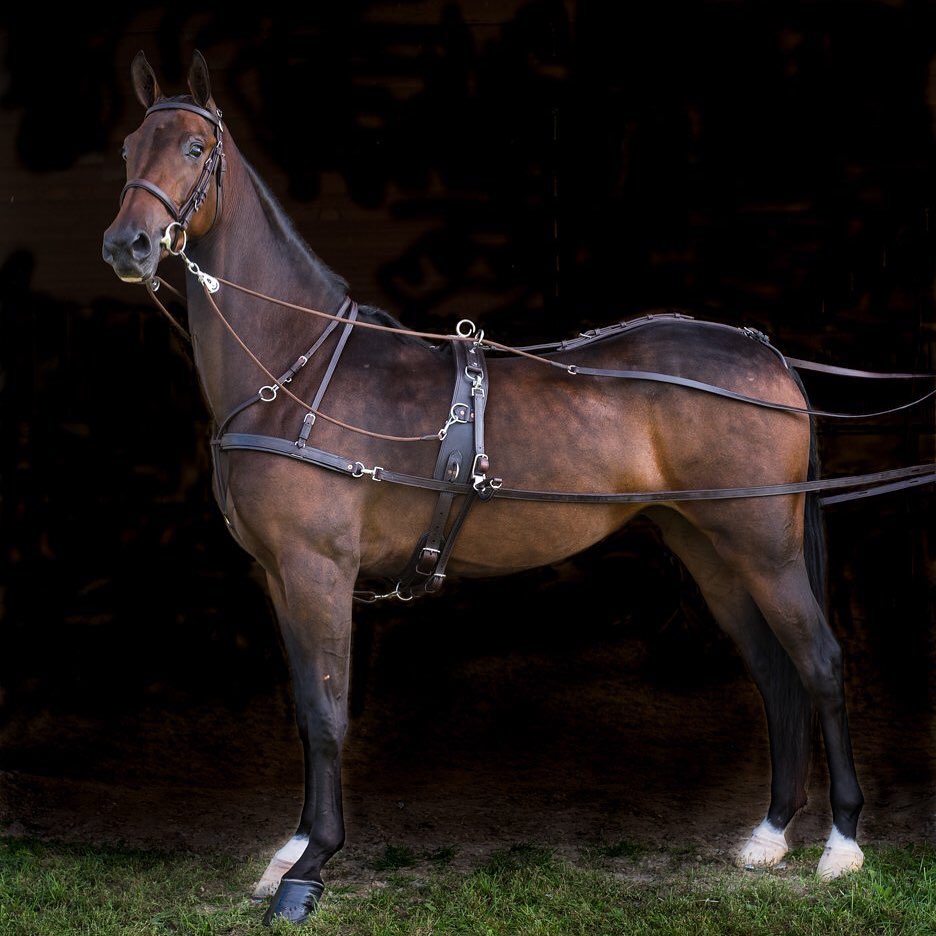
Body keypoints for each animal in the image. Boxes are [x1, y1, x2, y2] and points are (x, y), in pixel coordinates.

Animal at [102, 50, 866, 925]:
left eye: (195, 148)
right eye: (128, 148)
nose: (126, 243)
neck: (297, 373)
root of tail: (767, 355)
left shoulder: (317, 569)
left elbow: (328, 714)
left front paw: (312, 867)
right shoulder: (277, 576)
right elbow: (303, 707)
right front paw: (291, 851)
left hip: (766, 547)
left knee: (819, 663)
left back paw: (842, 844)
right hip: (710, 546)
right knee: (776, 673)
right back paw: (770, 834)